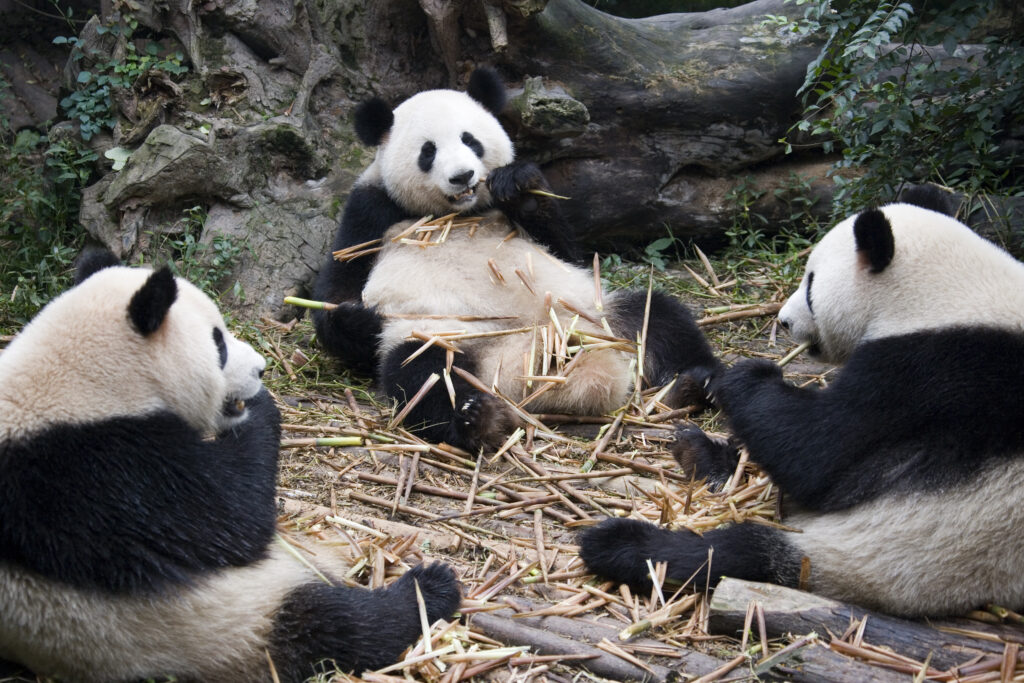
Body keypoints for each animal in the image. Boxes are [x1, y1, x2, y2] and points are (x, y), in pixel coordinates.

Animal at [0, 249, 461, 682]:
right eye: (218, 343)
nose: (261, 368)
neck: (76, 382)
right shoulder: (99, 475)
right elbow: (231, 518)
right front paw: (261, 409)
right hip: (227, 624)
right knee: (337, 625)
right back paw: (429, 589)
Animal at [312, 67, 718, 451]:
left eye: (470, 140)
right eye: (428, 151)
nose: (463, 176)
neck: (459, 214)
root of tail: (528, 365)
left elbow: (566, 249)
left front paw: (519, 187)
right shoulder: (371, 211)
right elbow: (339, 285)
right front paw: (359, 317)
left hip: (596, 315)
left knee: (659, 317)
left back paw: (694, 384)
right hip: (443, 338)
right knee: (424, 375)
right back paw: (477, 419)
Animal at [579, 188, 1024, 617]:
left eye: (810, 284)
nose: (784, 321)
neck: (950, 291)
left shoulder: (924, 370)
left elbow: (816, 453)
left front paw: (749, 376)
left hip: (888, 553)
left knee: (730, 553)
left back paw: (619, 543)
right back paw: (699, 453)